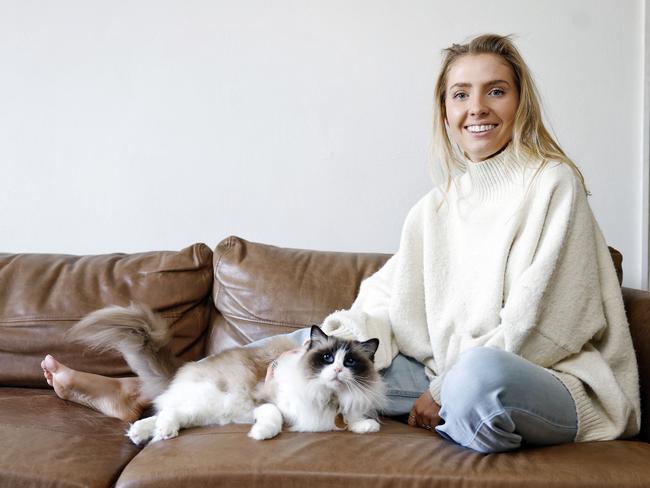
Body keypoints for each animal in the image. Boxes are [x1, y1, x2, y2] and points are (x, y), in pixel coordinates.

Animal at [69, 306, 384, 444]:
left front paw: (367, 426)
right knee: (170, 411)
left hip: (208, 412)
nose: (338, 370)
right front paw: (260, 434)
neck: (328, 397)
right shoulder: (265, 401)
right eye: (328, 358)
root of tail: (186, 366)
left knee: (166, 413)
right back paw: (161, 433)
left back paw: (143, 433)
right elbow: (274, 418)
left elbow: (353, 421)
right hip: (213, 401)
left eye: (351, 362)